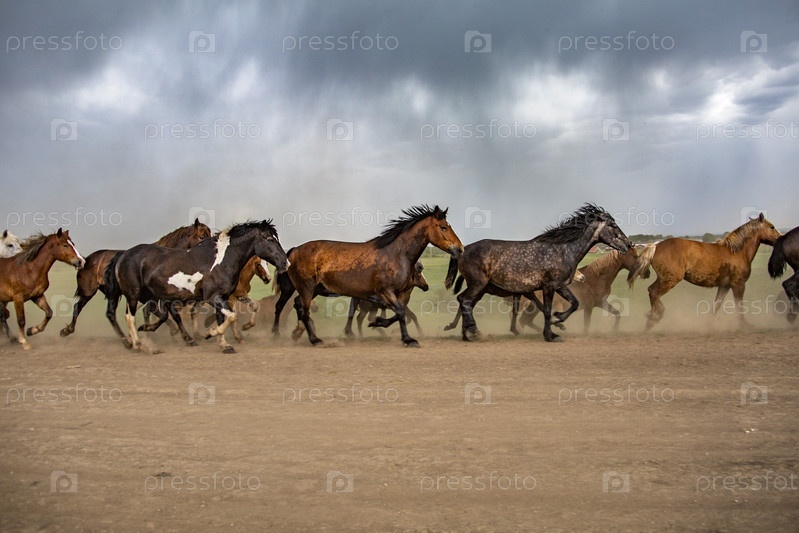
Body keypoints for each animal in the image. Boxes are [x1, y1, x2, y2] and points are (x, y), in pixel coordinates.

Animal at [59, 219, 212, 338]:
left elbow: (158, 312)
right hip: (89, 292)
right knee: (78, 307)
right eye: (201, 236)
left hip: (112, 293)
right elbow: (159, 312)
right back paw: (67, 330)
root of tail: (86, 260)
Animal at [105, 220, 288, 353]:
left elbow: (224, 317)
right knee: (129, 317)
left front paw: (224, 345)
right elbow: (231, 316)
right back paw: (139, 344)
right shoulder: (213, 297)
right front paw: (210, 333)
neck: (221, 260)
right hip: (133, 295)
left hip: (150, 295)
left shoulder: (223, 297)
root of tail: (123, 254)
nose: (285, 263)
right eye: (270, 239)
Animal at [272, 205, 463, 346]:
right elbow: (400, 312)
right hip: (306, 288)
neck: (395, 254)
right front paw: (404, 337)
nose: (460, 249)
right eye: (443, 227)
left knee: (297, 306)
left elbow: (400, 314)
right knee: (302, 310)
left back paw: (294, 333)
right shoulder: (385, 292)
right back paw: (313, 339)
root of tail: (294, 250)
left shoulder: (398, 294)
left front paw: (390, 329)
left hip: (315, 289)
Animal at [445, 204, 632, 342]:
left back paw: (466, 334)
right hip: (478, 284)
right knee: (464, 300)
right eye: (613, 225)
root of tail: (464, 249)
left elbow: (574, 303)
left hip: (480, 287)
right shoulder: (548, 286)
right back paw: (472, 331)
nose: (629, 245)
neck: (563, 250)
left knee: (466, 302)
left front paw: (558, 320)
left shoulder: (560, 286)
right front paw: (551, 334)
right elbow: (547, 310)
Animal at [628, 213, 781, 329]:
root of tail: (656, 246)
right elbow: (739, 306)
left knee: (652, 292)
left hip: (664, 279)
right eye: (772, 227)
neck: (737, 252)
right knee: (653, 292)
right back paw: (653, 318)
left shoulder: (724, 286)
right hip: (670, 279)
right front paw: (744, 325)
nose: (780, 238)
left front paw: (708, 325)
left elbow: (716, 306)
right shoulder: (739, 285)